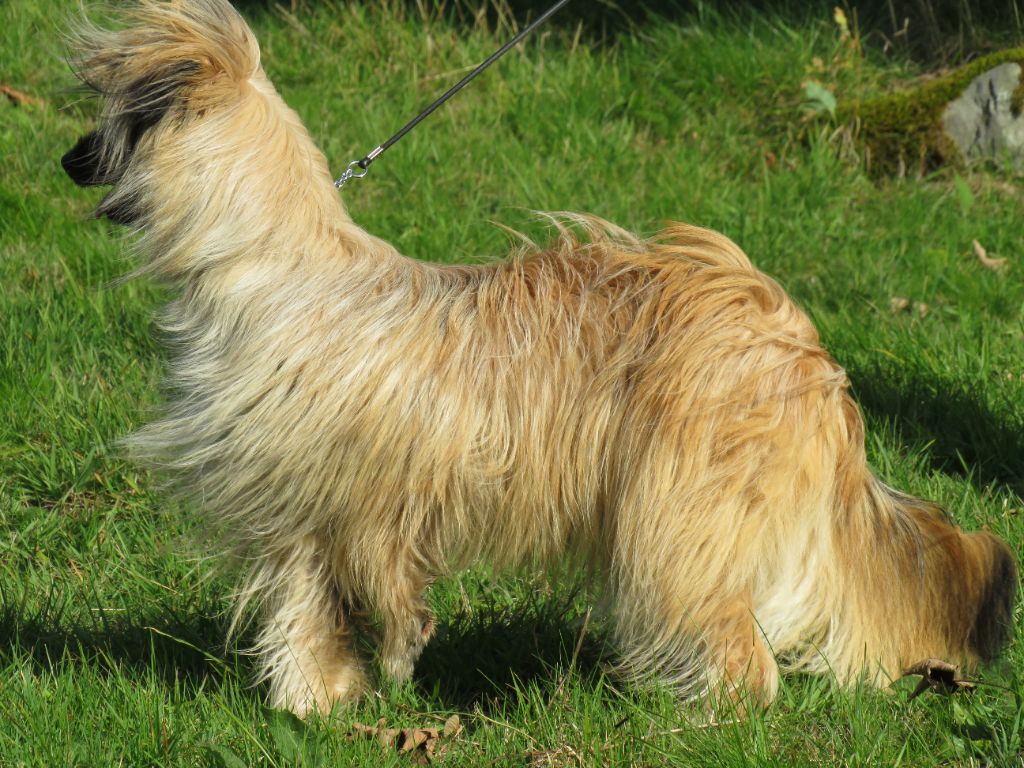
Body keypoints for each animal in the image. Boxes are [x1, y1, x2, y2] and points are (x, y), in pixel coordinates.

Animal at [64, 1, 1015, 720]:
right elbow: (326, 609)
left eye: (106, 121)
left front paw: (323, 696)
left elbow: (315, 605)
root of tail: (805, 354)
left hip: (678, 509)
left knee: (740, 653)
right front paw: (332, 699)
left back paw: (697, 723)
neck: (266, 258)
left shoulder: (315, 502)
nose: (65, 160)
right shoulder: (328, 513)